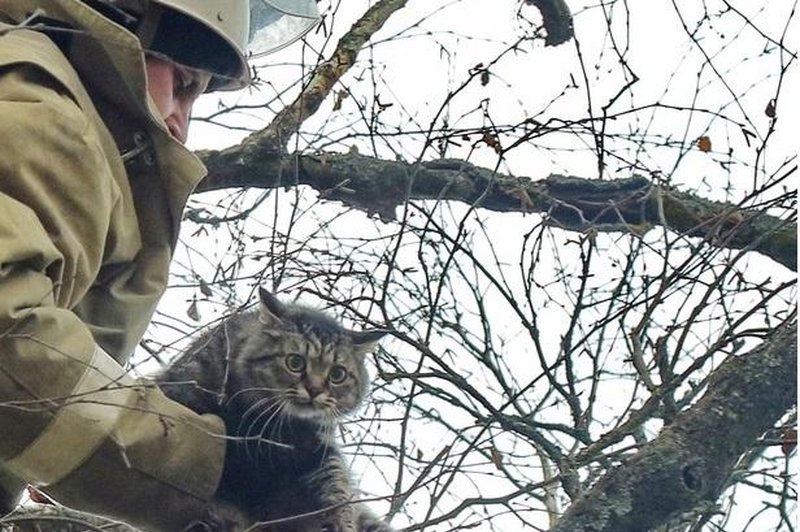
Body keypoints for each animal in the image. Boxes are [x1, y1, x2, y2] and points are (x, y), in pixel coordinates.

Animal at [155, 286, 392, 532]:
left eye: (337, 374)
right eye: (295, 362)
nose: (314, 389)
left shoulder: (320, 448)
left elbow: (337, 488)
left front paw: (339, 521)